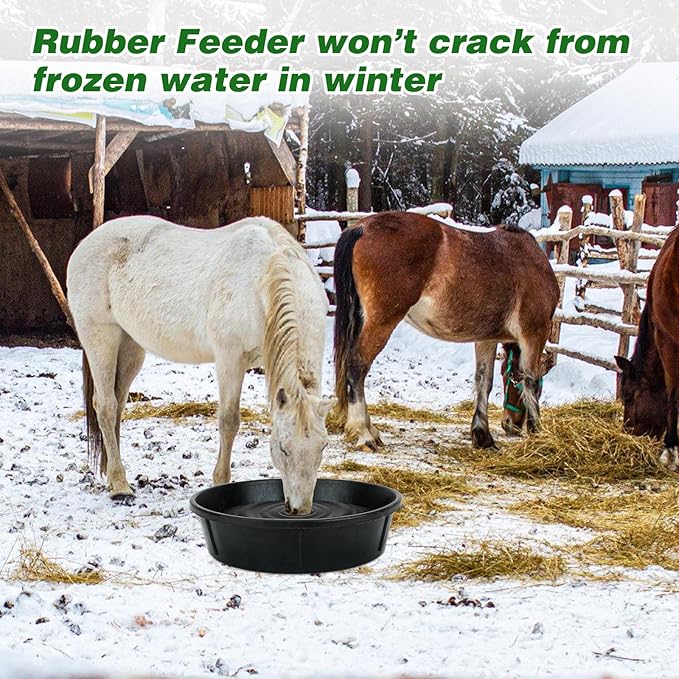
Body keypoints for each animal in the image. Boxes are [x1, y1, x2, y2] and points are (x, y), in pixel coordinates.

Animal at [67, 215, 333, 513]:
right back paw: (120, 487)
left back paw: (111, 475)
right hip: (101, 337)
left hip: (131, 346)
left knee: (118, 405)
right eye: (283, 448)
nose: (300, 510)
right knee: (105, 406)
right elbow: (229, 421)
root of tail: (85, 243)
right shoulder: (230, 358)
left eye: (322, 447)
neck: (263, 278)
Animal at [333, 212, 559, 450]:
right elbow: (530, 380)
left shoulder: (486, 339)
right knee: (357, 366)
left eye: (505, 377)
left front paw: (483, 435)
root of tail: (361, 228)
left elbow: (483, 381)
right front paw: (538, 432)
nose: (510, 424)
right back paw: (364, 433)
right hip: (381, 322)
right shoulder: (534, 333)